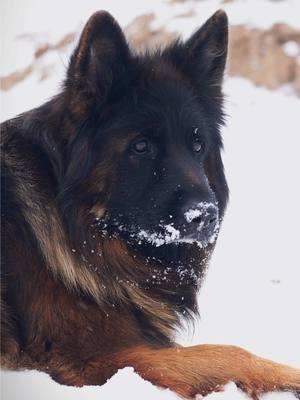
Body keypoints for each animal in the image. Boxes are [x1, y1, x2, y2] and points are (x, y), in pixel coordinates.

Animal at [0, 9, 300, 400]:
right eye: (141, 146)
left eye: (197, 145)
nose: (206, 216)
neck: (74, 227)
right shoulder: (102, 358)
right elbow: (232, 353)